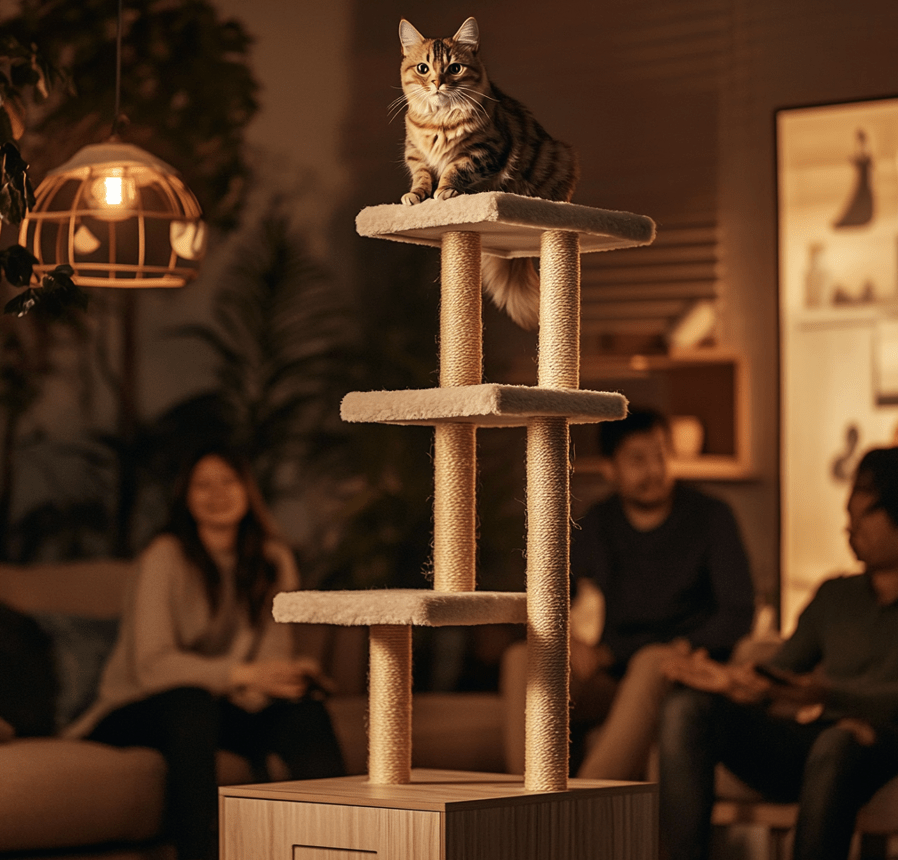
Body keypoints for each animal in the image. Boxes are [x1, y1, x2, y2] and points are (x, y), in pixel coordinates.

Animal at [396, 17, 576, 332]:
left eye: (455, 68)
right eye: (423, 68)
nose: (438, 83)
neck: (438, 121)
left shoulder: (484, 151)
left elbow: (455, 168)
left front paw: (446, 192)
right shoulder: (416, 155)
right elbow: (421, 178)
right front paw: (416, 197)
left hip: (559, 159)